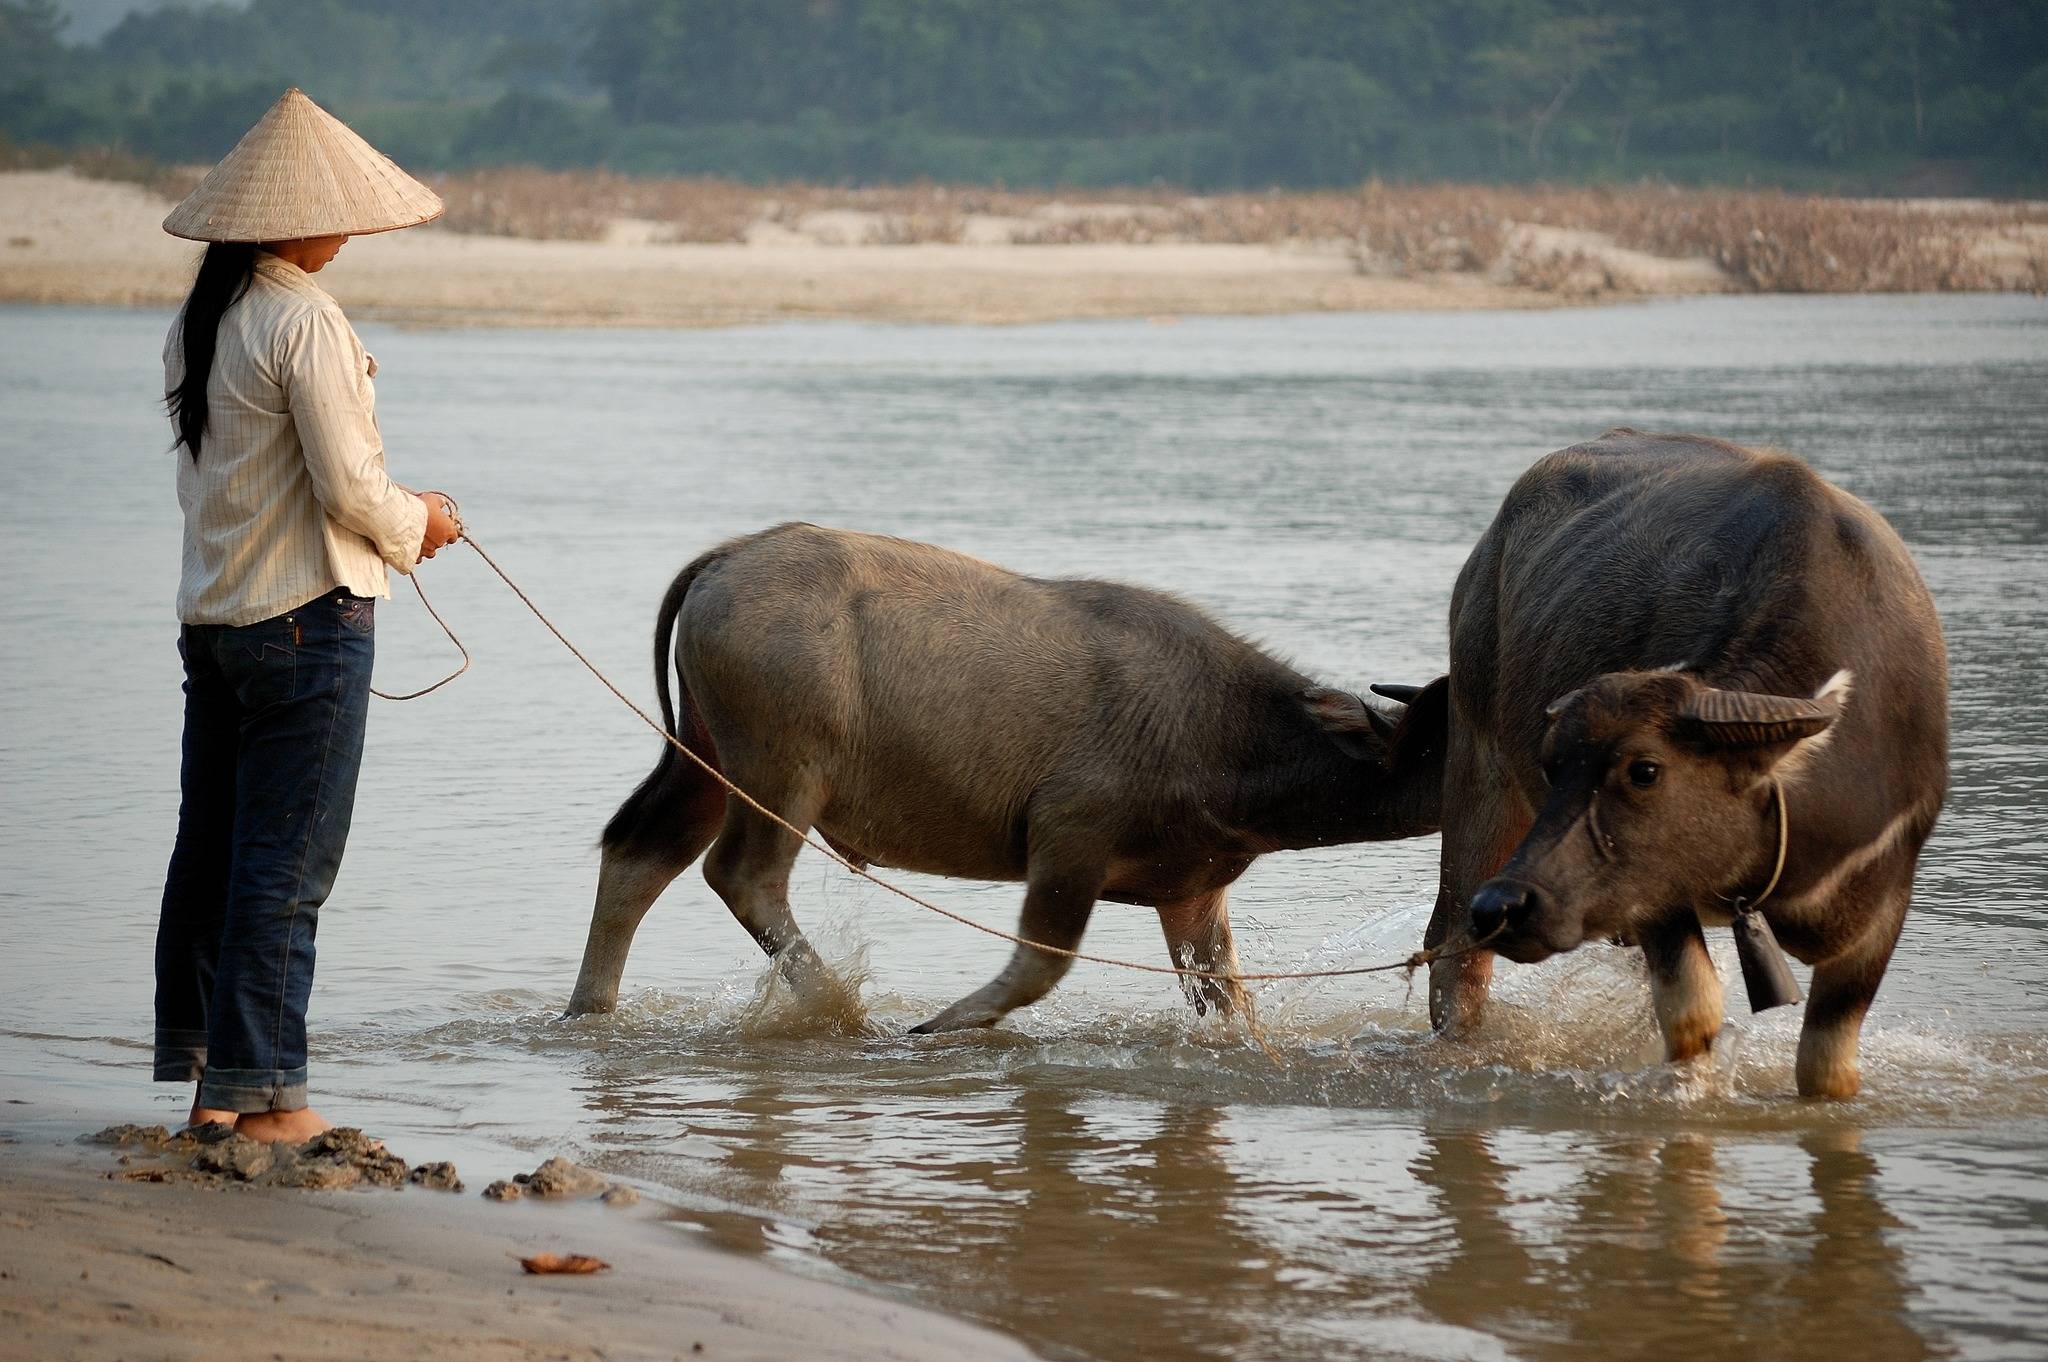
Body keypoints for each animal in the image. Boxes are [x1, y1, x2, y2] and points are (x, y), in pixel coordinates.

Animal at [568, 523, 1446, 1033]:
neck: (1229, 730)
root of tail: (729, 557)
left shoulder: (1193, 896)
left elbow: (1227, 999)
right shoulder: (1070, 838)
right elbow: (1040, 964)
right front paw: (945, 1024)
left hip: (704, 756)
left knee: (642, 851)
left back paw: (590, 1009)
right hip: (781, 771)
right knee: (743, 874)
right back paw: (834, 1006)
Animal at [1416, 429, 1948, 1099]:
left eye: (1644, 770)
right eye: (1553, 766)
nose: (1506, 905)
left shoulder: (1886, 896)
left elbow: (1827, 1065)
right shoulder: (1655, 891)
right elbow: (1694, 1012)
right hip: (1478, 770)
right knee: (1455, 953)